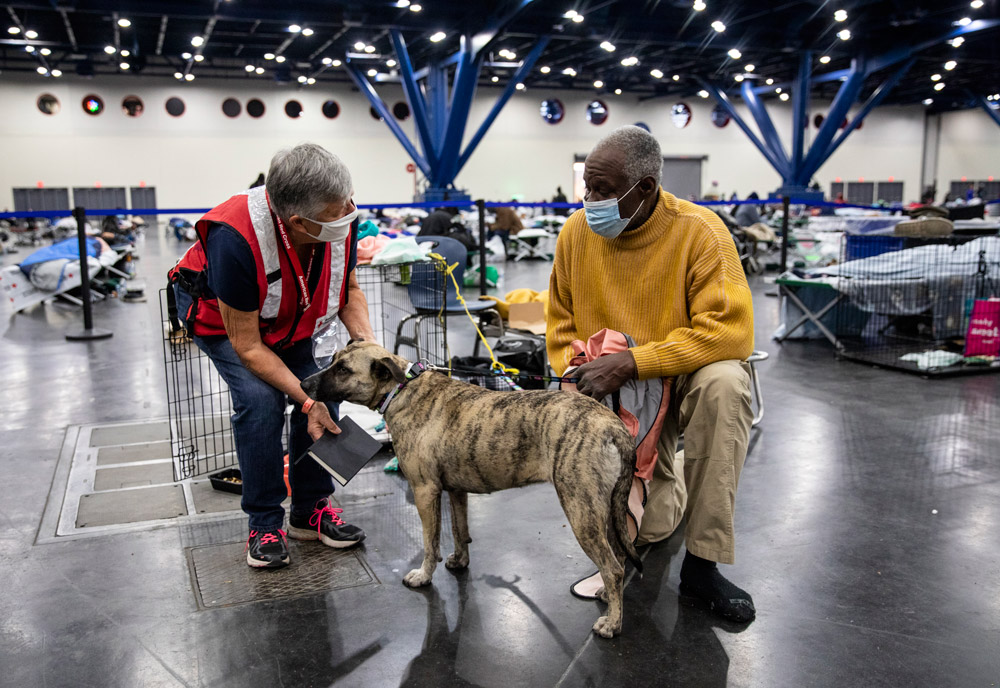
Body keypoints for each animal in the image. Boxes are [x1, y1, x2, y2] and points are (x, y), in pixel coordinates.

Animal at [300, 342, 640, 636]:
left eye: (343, 369)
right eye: (333, 360)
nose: (303, 384)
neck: (400, 389)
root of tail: (613, 427)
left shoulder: (425, 491)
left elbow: (430, 542)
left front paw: (423, 575)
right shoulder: (455, 491)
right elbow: (459, 529)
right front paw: (459, 561)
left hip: (581, 510)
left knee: (612, 567)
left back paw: (612, 623)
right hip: (606, 510)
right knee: (619, 558)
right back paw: (606, 595)